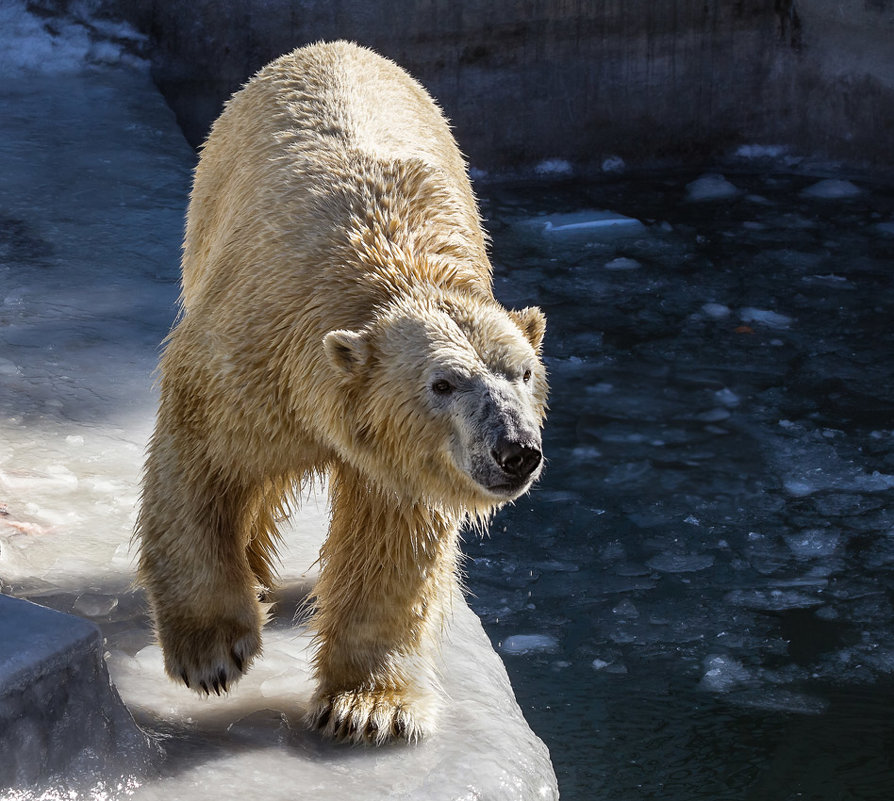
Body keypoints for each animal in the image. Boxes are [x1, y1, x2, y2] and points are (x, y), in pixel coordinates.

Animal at [137, 42, 548, 744]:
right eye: (443, 382)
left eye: (523, 372)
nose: (515, 449)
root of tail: (330, 47)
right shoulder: (253, 356)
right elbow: (200, 462)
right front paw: (212, 652)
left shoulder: (402, 456)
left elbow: (390, 540)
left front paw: (369, 707)